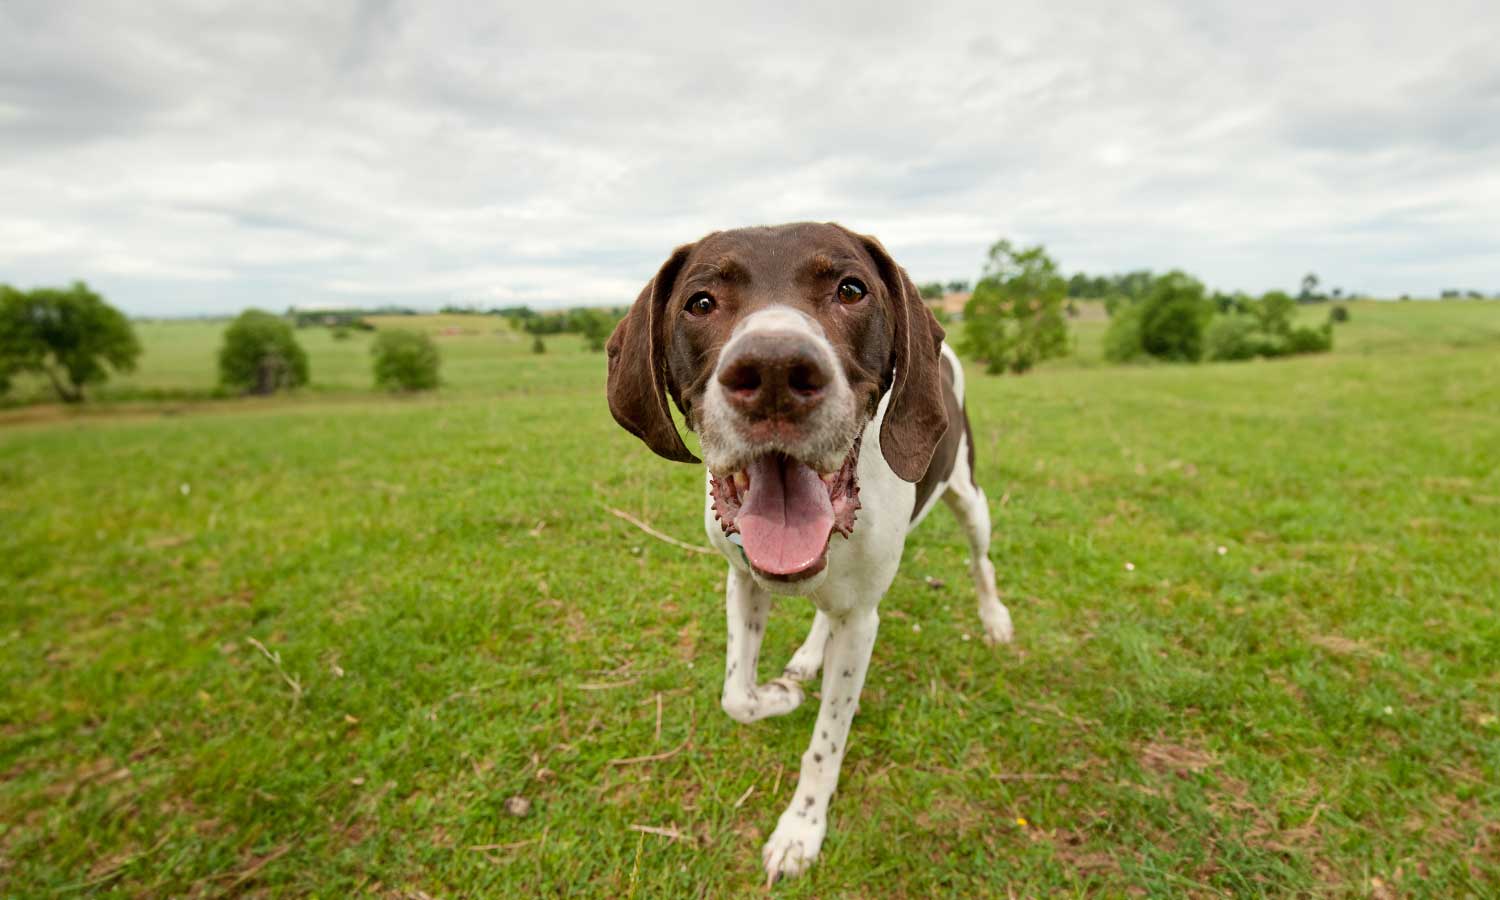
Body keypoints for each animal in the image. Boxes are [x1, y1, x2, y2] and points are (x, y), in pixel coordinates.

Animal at [603, 222, 1014, 882]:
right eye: (700, 302)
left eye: (851, 290)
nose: (774, 371)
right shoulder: (743, 580)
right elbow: (736, 696)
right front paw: (780, 694)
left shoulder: (863, 622)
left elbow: (827, 740)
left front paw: (801, 828)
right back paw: (803, 659)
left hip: (969, 499)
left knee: (981, 561)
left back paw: (995, 618)